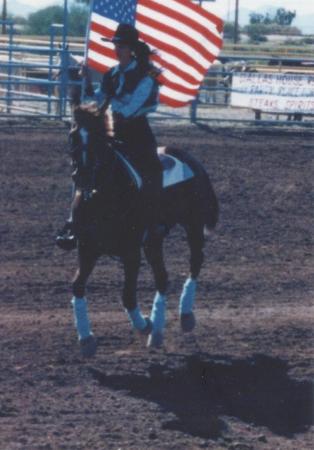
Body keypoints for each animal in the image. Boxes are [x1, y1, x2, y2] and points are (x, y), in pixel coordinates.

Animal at [66, 103, 218, 356]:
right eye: (73, 135)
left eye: (98, 139)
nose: (83, 176)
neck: (103, 195)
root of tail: (189, 159)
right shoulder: (87, 249)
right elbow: (77, 286)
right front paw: (86, 338)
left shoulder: (131, 253)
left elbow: (128, 296)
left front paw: (144, 324)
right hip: (154, 242)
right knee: (162, 278)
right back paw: (157, 332)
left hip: (193, 226)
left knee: (195, 262)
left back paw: (184, 314)